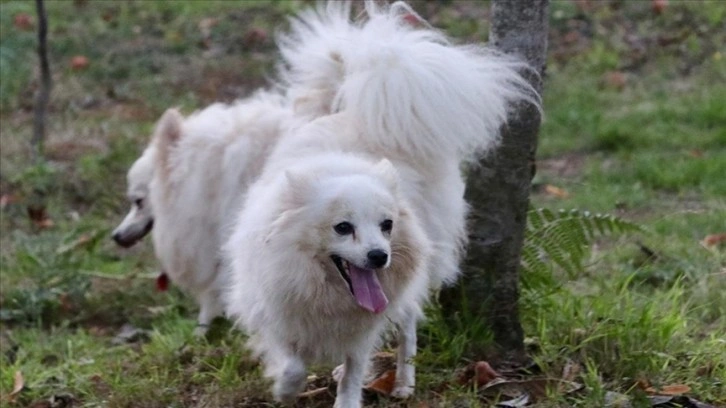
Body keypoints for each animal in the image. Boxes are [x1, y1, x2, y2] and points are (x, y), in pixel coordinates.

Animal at [226, 1, 540, 406]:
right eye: (342, 227)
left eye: (387, 225)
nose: (379, 256)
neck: (325, 288)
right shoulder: (273, 311)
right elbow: (293, 361)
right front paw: (285, 387)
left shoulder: (362, 327)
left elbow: (355, 370)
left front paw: (344, 395)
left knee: (408, 327)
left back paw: (404, 383)